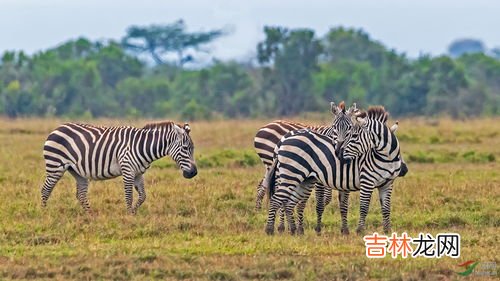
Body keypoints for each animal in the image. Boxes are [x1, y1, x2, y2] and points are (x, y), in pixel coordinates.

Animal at [41, 120, 197, 212]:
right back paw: (44, 213)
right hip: (55, 166)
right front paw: (128, 216)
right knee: (45, 190)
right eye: (185, 148)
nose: (193, 173)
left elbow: (142, 196)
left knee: (81, 195)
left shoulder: (138, 173)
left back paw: (90, 216)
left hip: (78, 172)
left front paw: (133, 212)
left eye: (192, 148)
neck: (143, 146)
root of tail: (57, 128)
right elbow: (129, 196)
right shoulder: (127, 170)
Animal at [254, 101, 360, 233]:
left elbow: (340, 202)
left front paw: (344, 229)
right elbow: (321, 201)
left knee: (263, 186)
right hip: (277, 166)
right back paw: (280, 225)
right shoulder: (321, 176)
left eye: (350, 128)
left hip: (275, 168)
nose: (340, 149)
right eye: (334, 127)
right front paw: (317, 227)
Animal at [264, 106, 404, 235]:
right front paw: (359, 231)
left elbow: (386, 208)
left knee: (289, 202)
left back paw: (294, 231)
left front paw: (387, 231)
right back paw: (270, 230)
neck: (387, 158)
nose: (338, 153)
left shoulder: (387, 184)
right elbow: (364, 207)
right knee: (276, 200)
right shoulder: (367, 181)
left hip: (304, 179)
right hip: (291, 174)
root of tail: (284, 139)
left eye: (353, 135)